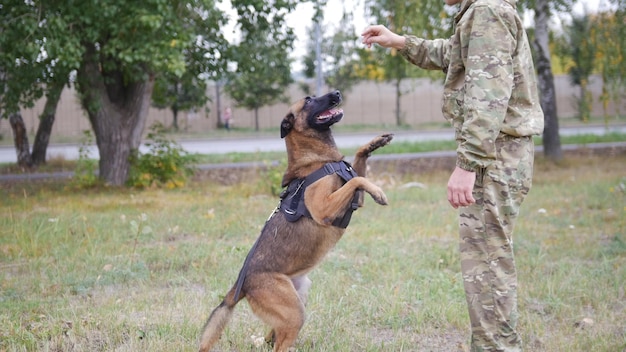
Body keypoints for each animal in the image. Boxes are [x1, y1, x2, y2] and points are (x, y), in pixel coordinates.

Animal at [197, 91, 390, 352]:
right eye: (308, 100)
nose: (336, 93)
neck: (317, 160)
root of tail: (241, 284)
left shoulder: (354, 200)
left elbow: (357, 171)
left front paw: (375, 143)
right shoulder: (323, 208)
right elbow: (356, 180)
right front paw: (379, 192)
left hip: (299, 296)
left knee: (272, 337)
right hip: (294, 312)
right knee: (278, 344)